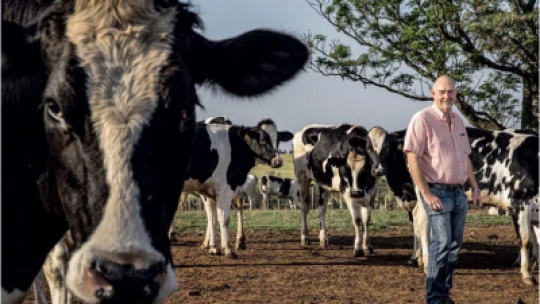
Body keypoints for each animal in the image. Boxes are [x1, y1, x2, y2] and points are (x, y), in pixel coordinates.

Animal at [1, 0, 308, 302]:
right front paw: (228, 248)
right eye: (263, 139)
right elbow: (223, 216)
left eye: (276, 139)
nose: (277, 160)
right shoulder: (223, 185)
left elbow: (212, 215)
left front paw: (213, 246)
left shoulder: (209, 188)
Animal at [292, 123, 384, 256]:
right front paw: (358, 248)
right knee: (304, 208)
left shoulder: (372, 194)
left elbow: (366, 220)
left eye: (365, 170)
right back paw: (305, 237)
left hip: (324, 185)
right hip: (302, 178)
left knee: (322, 210)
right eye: (346, 170)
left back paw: (323, 238)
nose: (356, 193)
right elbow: (357, 220)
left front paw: (367, 246)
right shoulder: (347, 193)